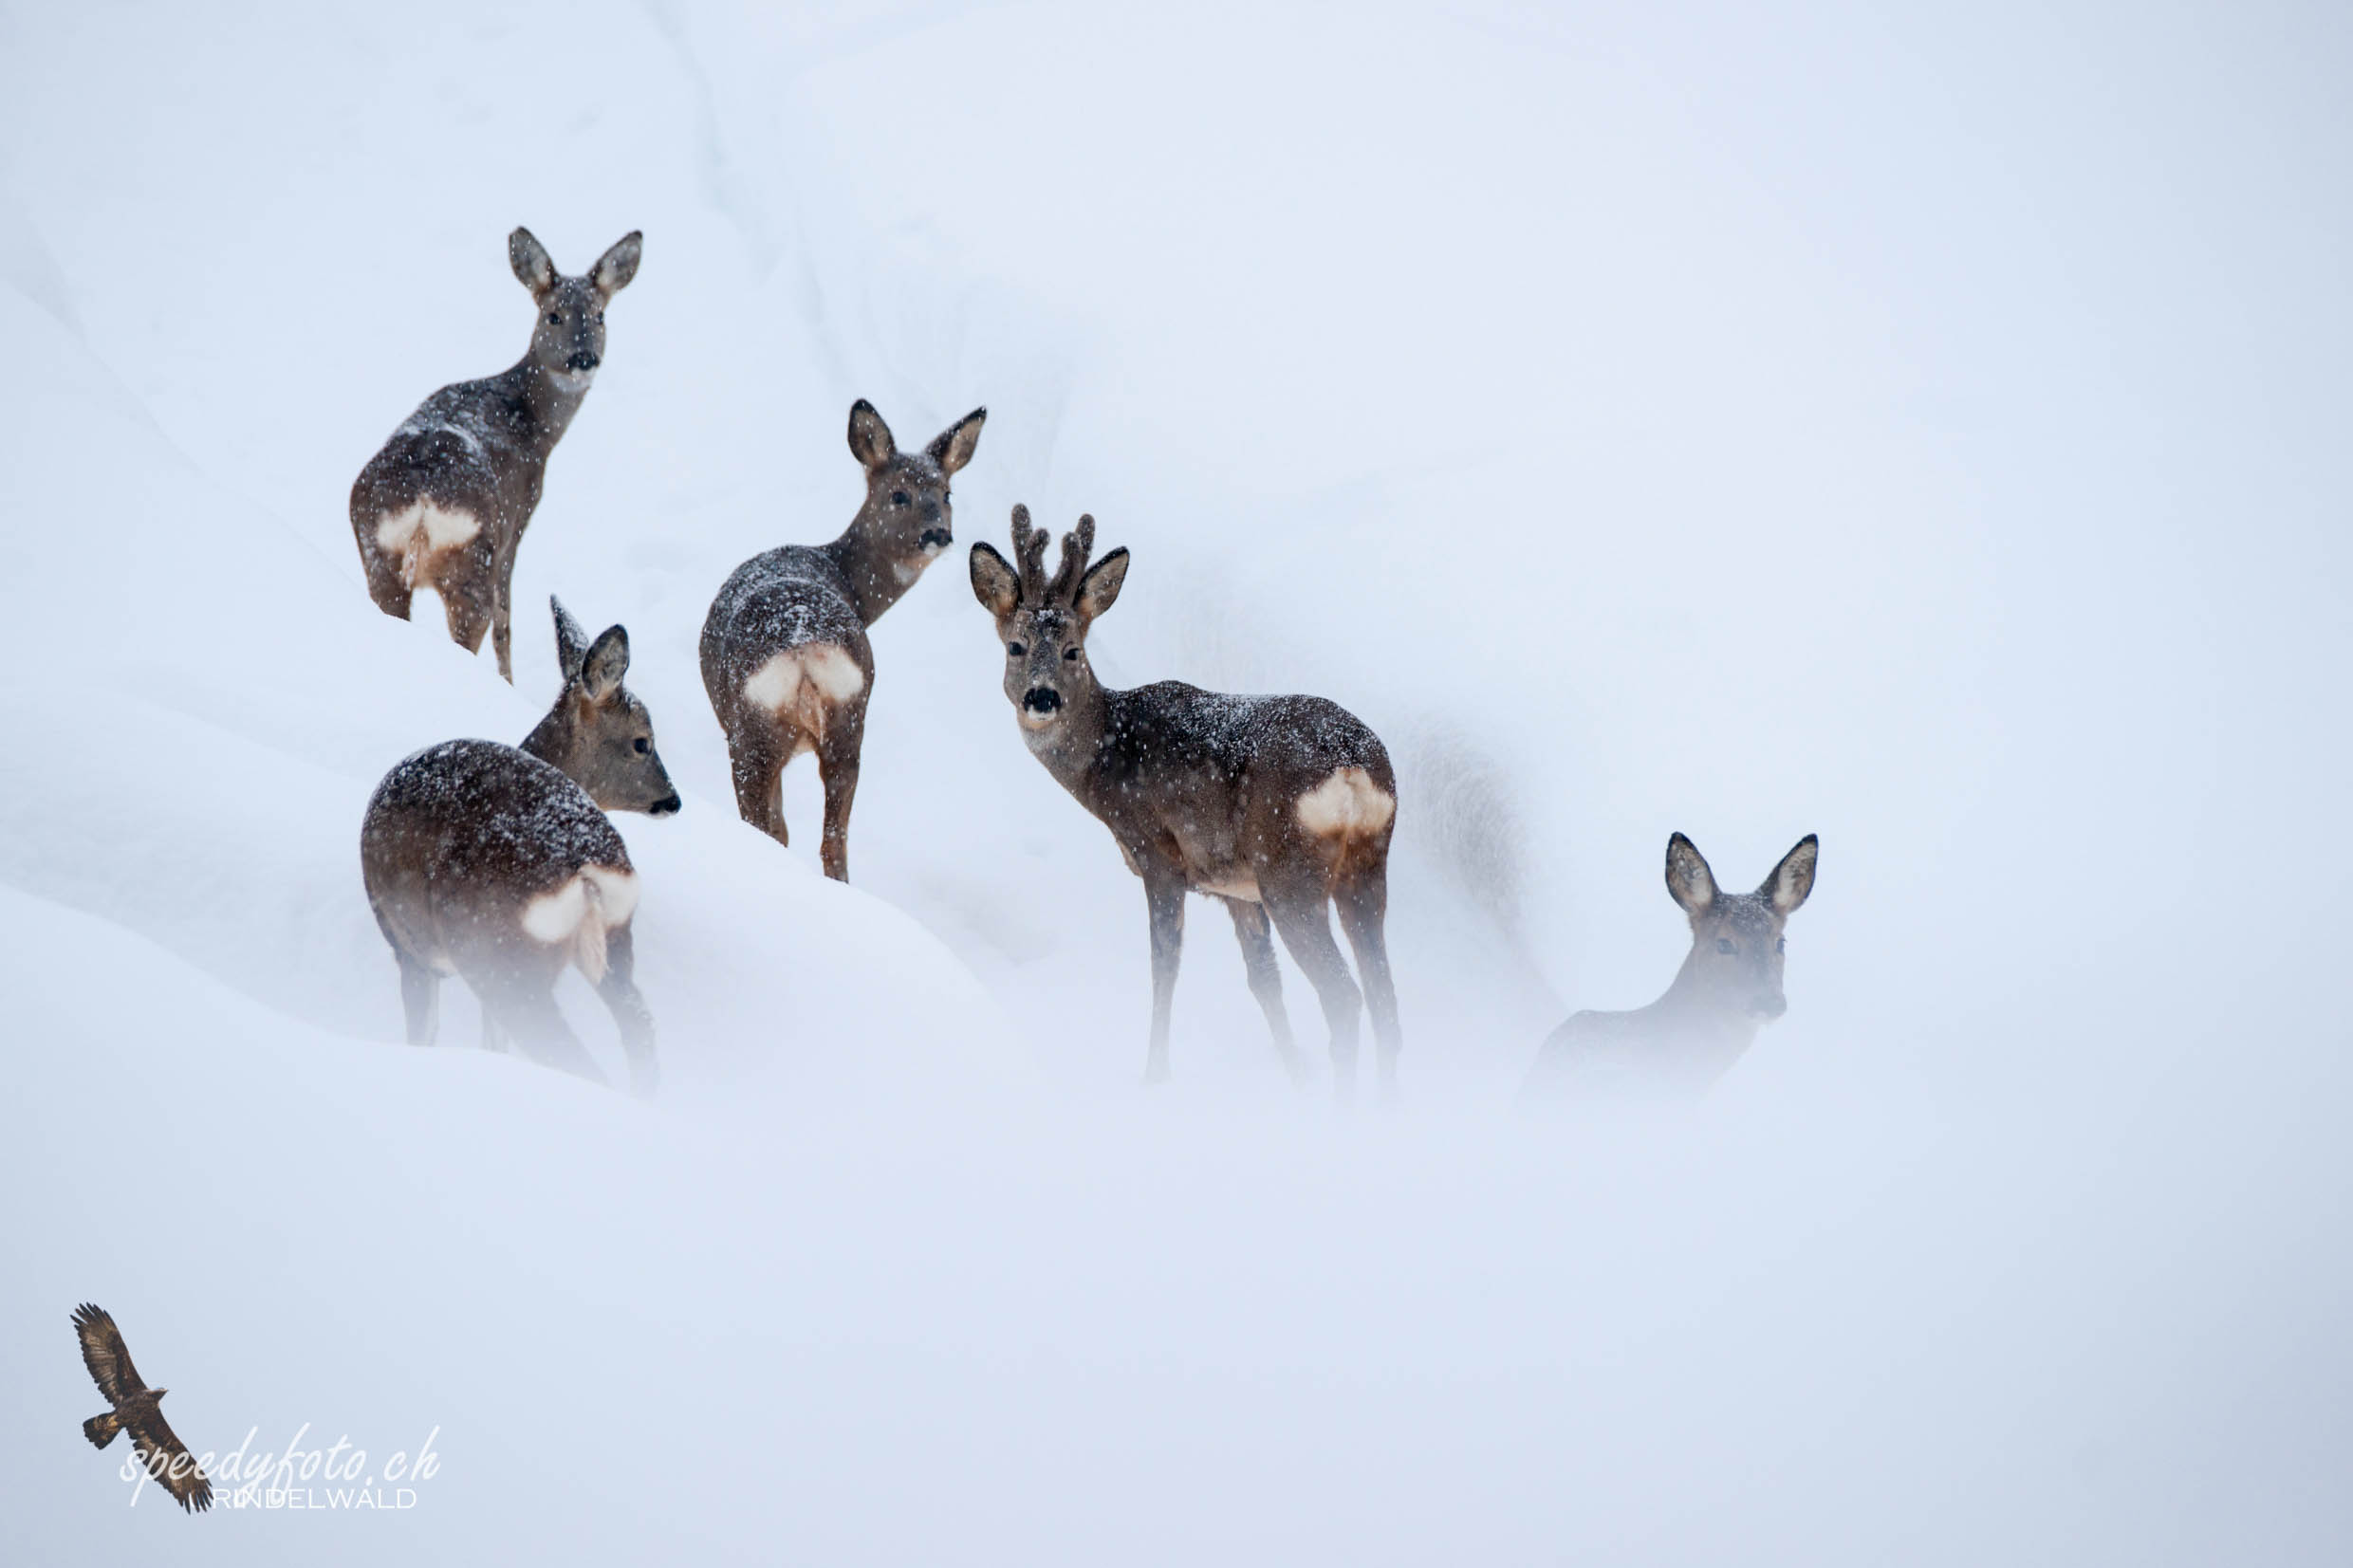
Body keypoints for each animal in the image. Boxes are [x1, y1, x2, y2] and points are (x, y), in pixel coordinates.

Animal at [348, 227, 644, 681]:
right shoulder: (519, 516)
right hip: (474, 558)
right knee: (483, 622)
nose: (583, 358)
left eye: (600, 316)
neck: (532, 422)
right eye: (553, 315)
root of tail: (422, 500)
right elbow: (508, 623)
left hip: (376, 552)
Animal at [360, 595, 682, 1099]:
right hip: (615, 937)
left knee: (570, 1053)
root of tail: (582, 863)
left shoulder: (408, 949)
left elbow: (426, 1035)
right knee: (640, 1028)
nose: (673, 799)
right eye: (641, 743)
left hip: (499, 954)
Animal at [701, 399, 988, 883]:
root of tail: (801, 645)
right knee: (833, 840)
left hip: (751, 732)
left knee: (772, 829)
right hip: (848, 721)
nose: (938, 534)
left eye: (946, 494)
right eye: (899, 495)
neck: (847, 580)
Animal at [969, 509, 1402, 1099]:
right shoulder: (1235, 887)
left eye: (1073, 651)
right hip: (1366, 868)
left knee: (1343, 995)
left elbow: (1164, 966)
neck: (1106, 758)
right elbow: (1263, 979)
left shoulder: (1159, 855)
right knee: (1385, 999)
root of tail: (1353, 768)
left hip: (1289, 872)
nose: (1042, 697)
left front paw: (1155, 1073)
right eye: (1015, 646)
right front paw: (1293, 1070)